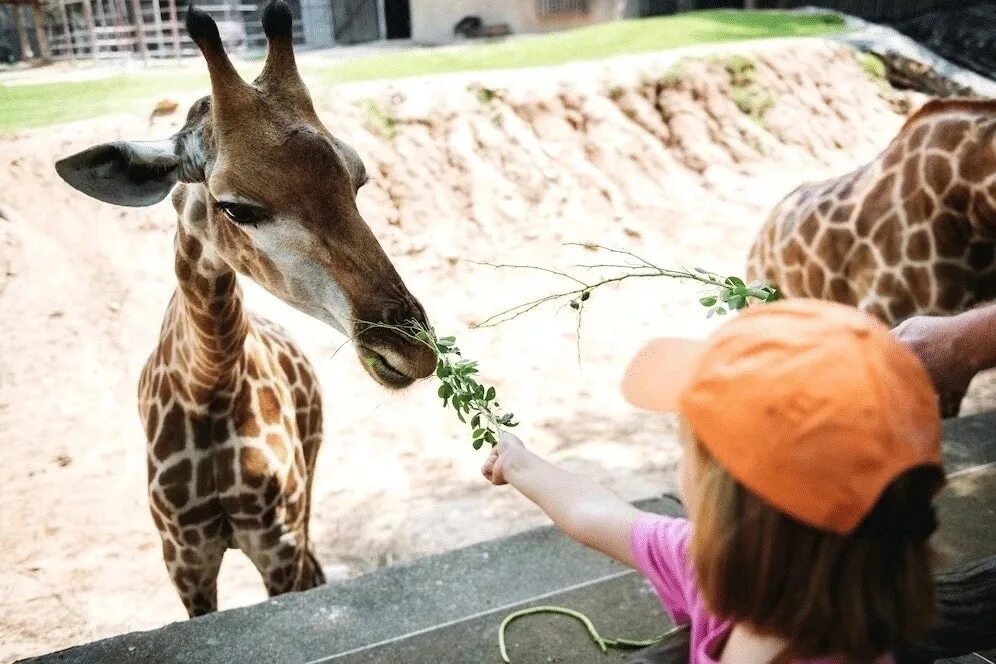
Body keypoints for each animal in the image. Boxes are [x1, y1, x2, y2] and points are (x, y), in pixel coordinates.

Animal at [49, 1, 432, 616]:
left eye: (357, 181)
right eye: (236, 207)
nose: (411, 350)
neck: (209, 382)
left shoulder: (276, 542)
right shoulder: (184, 558)